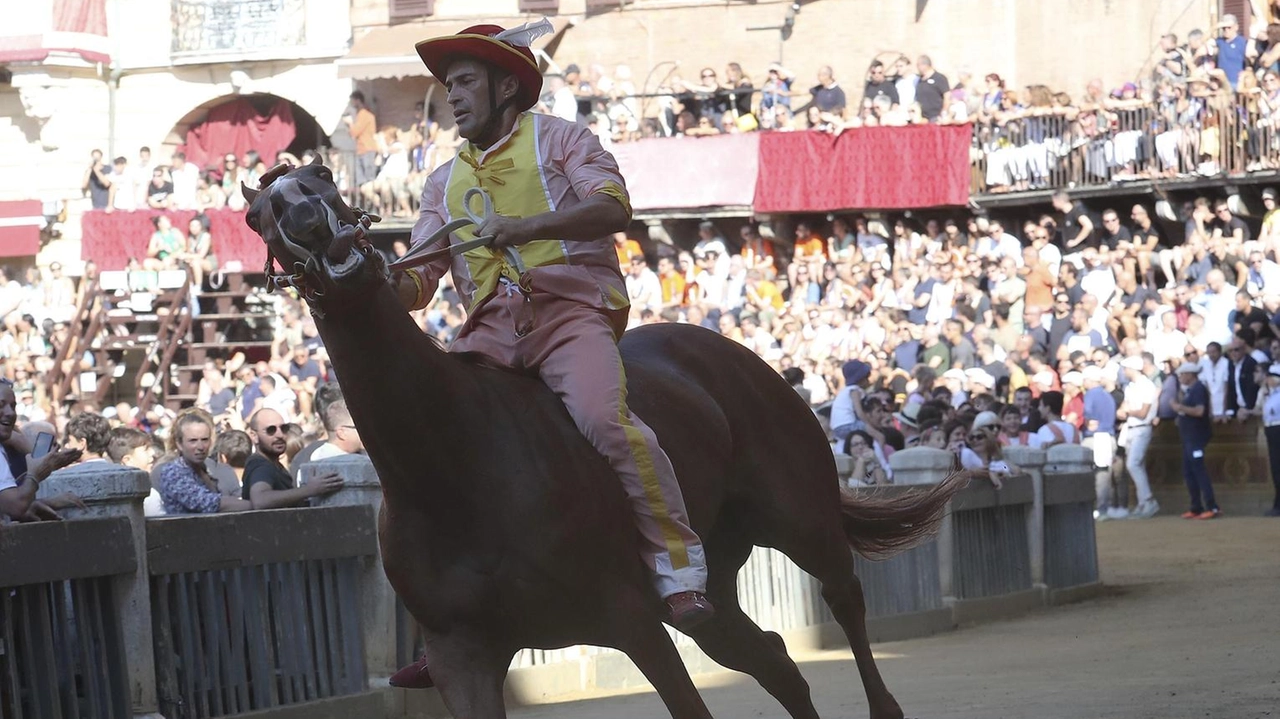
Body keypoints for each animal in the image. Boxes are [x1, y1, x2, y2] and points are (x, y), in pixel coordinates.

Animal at [241, 165, 962, 716]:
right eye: (259, 213)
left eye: (324, 179)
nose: (309, 218)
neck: (454, 466)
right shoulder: (460, 656)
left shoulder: (629, 614)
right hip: (712, 579)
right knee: (774, 661)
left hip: (798, 514)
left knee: (843, 595)